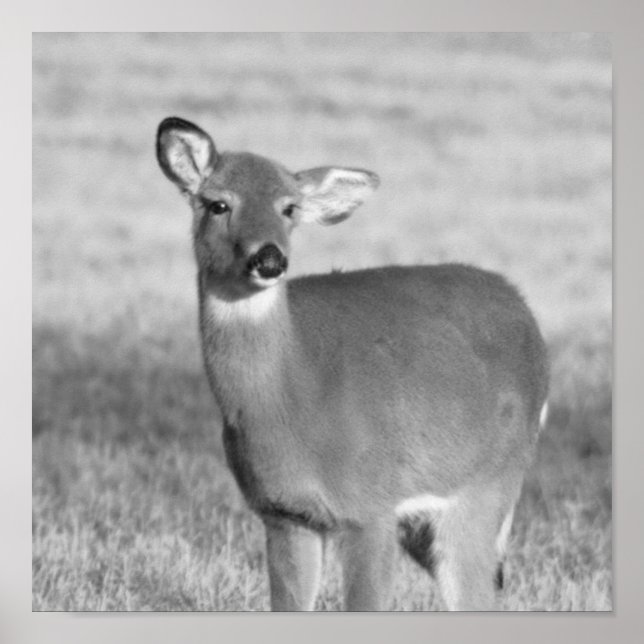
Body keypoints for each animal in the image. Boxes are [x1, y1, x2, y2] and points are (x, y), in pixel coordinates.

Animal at [156, 116, 549, 611]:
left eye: (289, 208)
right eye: (219, 203)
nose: (269, 258)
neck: (296, 390)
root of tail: (530, 321)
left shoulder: (371, 507)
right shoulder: (284, 513)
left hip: (485, 485)